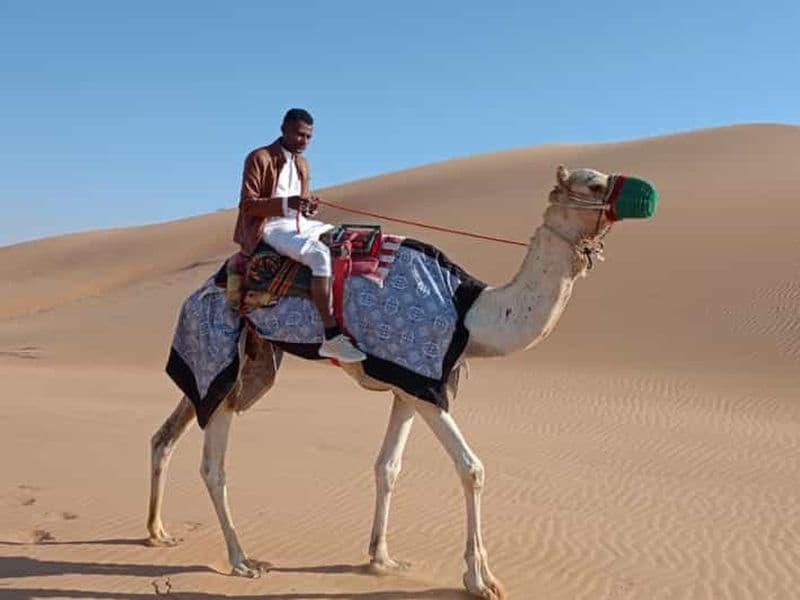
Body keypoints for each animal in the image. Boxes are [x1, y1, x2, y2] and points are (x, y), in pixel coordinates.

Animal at [146, 165, 657, 599]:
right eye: (593, 183)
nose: (648, 193)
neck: (470, 312)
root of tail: (200, 291)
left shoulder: (406, 385)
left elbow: (387, 466)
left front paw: (381, 559)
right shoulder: (426, 386)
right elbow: (472, 468)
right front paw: (481, 580)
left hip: (236, 364)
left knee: (168, 433)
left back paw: (157, 533)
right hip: (221, 348)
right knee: (213, 464)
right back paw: (241, 560)